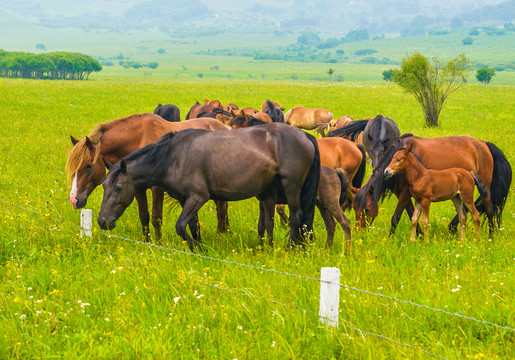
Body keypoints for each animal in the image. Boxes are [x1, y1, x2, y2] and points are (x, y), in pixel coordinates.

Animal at [66, 113, 230, 242]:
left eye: (88, 166)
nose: (74, 199)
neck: (140, 139)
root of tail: (224, 127)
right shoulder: (137, 188)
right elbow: (144, 217)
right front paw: (147, 243)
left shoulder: (157, 188)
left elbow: (156, 218)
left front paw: (159, 244)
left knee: (221, 208)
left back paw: (220, 236)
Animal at [99, 124, 320, 250]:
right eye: (103, 187)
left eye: (118, 188)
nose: (103, 221)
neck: (173, 156)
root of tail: (305, 136)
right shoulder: (185, 199)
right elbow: (192, 225)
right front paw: (199, 246)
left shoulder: (199, 197)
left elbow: (180, 225)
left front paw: (198, 248)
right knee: (271, 223)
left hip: (292, 188)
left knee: (296, 218)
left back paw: (291, 247)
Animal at [350, 134, 512, 235]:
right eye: (354, 209)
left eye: (366, 209)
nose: (359, 233)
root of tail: (484, 144)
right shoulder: (407, 194)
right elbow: (412, 214)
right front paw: (420, 235)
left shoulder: (405, 193)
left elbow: (396, 217)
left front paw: (391, 239)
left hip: (485, 186)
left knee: (489, 209)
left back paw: (490, 236)